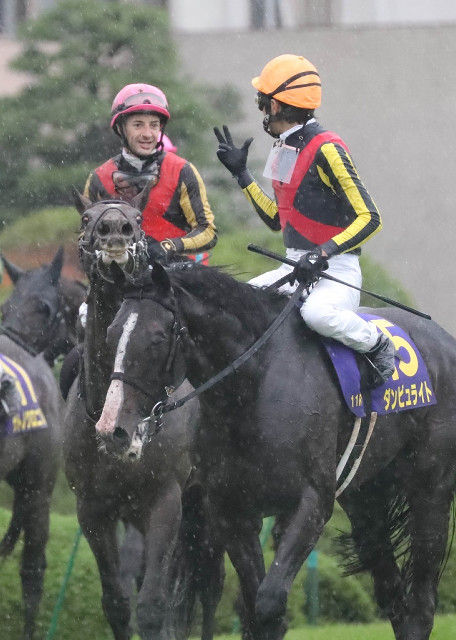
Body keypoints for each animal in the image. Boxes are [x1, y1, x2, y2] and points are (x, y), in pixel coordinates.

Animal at [63, 192, 223, 640]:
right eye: (87, 217)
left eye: (136, 218)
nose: (115, 230)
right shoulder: (93, 509)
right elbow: (117, 602)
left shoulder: (165, 501)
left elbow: (153, 605)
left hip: (207, 506)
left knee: (209, 586)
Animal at [104, 258, 456, 640]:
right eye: (110, 332)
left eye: (156, 338)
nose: (113, 429)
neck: (255, 384)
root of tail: (444, 341)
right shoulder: (233, 511)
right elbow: (255, 607)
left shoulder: (311, 502)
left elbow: (269, 601)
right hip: (366, 497)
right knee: (392, 593)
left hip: (431, 490)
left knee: (421, 603)